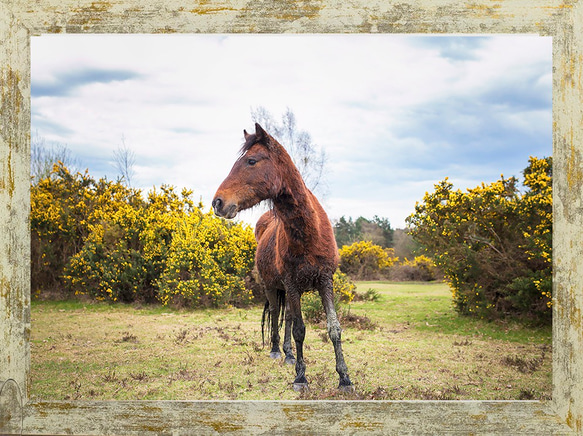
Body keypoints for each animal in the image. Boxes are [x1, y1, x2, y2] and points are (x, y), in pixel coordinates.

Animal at [213, 122, 354, 392]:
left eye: (252, 161)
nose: (218, 202)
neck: (309, 232)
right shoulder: (291, 283)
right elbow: (299, 329)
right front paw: (301, 378)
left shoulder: (325, 282)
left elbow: (334, 328)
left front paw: (344, 378)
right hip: (274, 287)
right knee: (277, 313)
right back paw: (277, 350)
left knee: (286, 316)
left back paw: (288, 354)